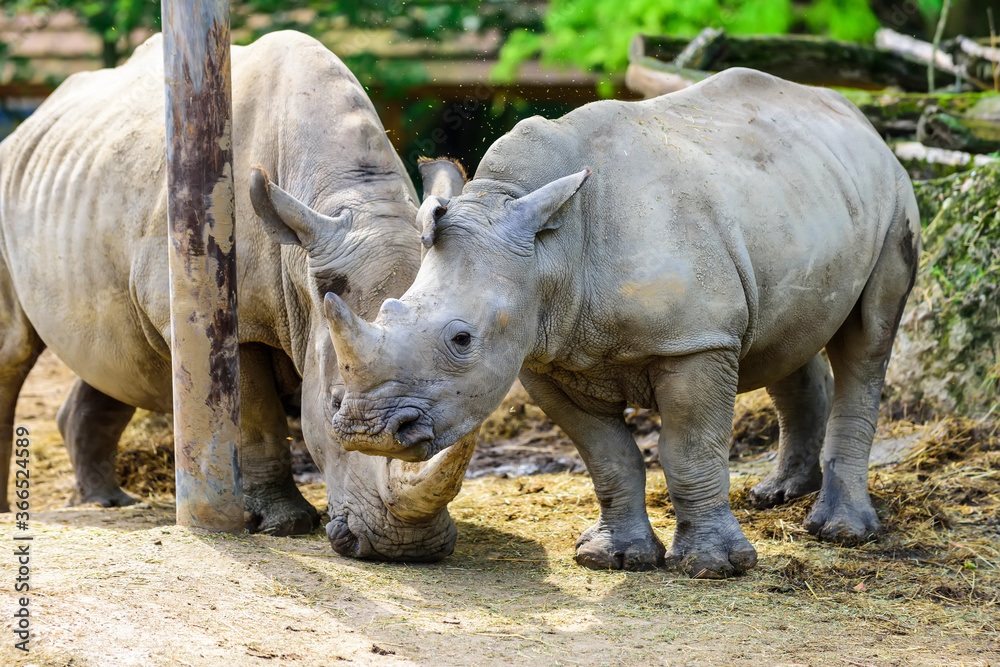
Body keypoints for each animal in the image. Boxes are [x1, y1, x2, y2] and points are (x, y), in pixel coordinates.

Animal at [0, 30, 473, 561]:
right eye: (334, 405)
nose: (405, 549)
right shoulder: (237, 321)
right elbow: (255, 416)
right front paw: (284, 525)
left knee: (118, 354)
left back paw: (110, 502)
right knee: (14, 350)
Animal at [323, 68, 921, 576]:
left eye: (462, 339)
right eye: (387, 310)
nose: (367, 432)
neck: (550, 249)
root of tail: (856, 117)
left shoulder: (694, 341)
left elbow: (689, 450)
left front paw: (713, 567)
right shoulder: (545, 354)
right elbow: (607, 456)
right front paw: (613, 558)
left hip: (893, 191)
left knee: (867, 342)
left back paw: (842, 532)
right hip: (796, 199)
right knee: (785, 339)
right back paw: (776, 494)